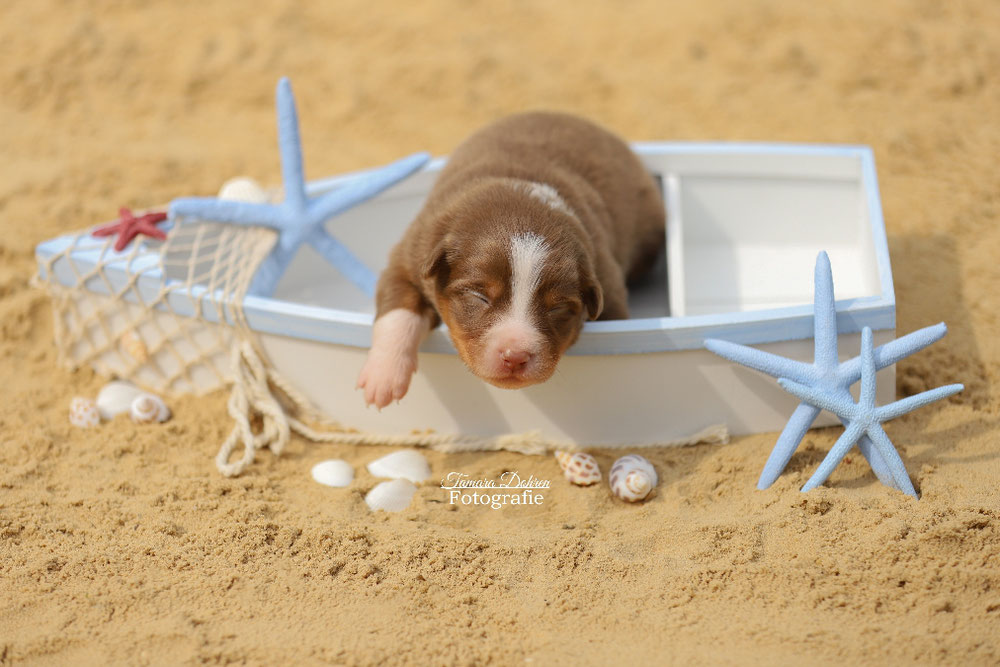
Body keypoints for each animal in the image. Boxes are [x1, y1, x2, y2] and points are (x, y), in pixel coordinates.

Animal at [356, 112, 660, 410]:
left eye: (558, 308)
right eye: (479, 296)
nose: (515, 356)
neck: (519, 194)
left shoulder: (608, 282)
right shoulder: (412, 254)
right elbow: (398, 311)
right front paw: (383, 377)